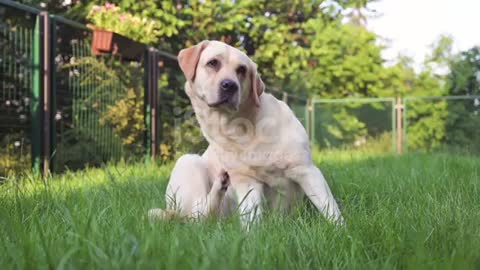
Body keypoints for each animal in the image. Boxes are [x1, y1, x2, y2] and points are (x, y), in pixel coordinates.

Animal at [148, 40, 344, 228]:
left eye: (241, 70)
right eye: (213, 63)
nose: (230, 85)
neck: (239, 128)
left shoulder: (306, 170)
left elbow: (330, 209)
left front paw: (340, 231)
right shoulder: (246, 182)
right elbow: (251, 219)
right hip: (188, 161)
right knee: (197, 216)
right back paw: (219, 184)